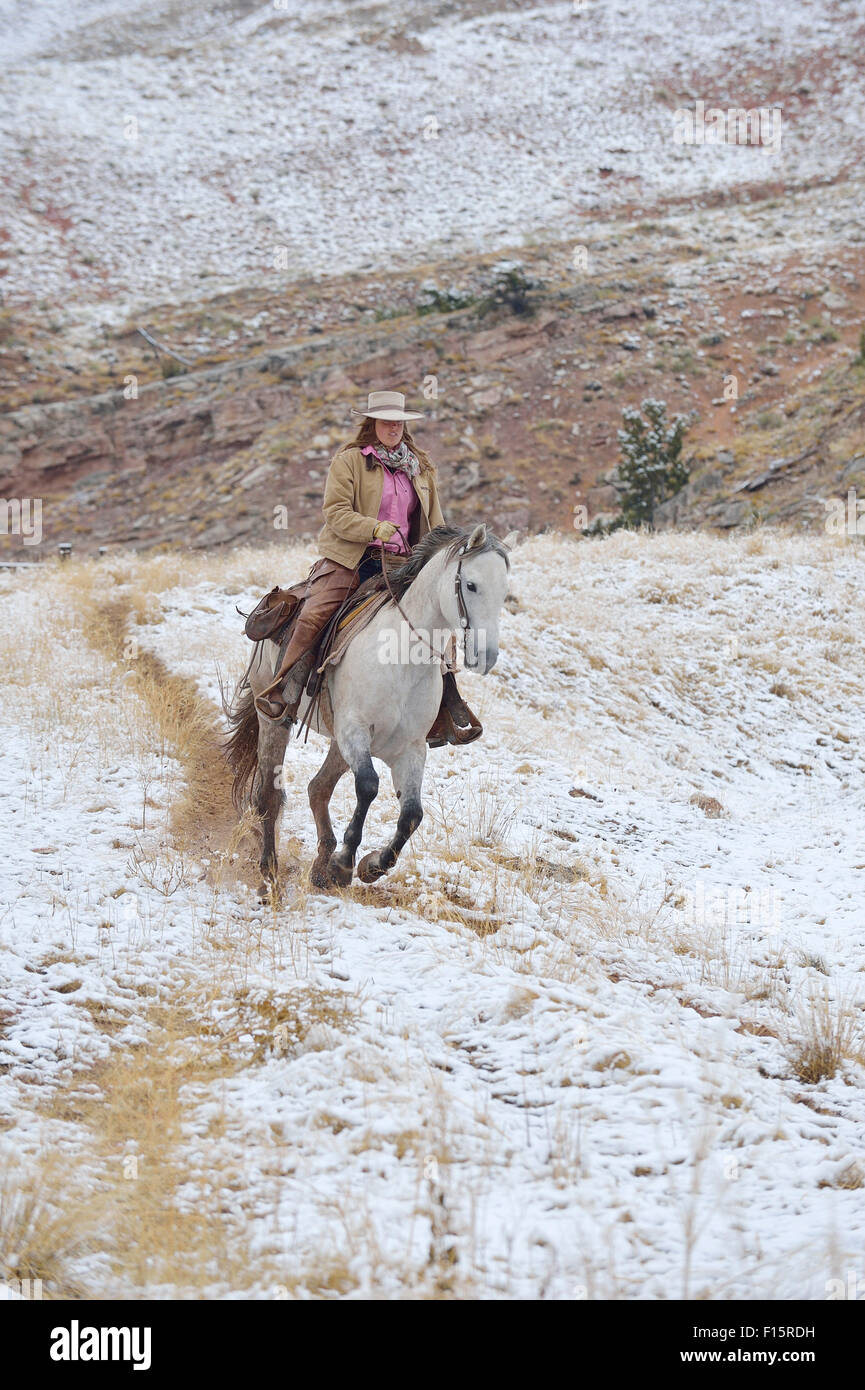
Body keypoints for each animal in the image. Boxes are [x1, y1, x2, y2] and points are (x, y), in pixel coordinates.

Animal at [226, 522, 517, 889]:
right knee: (269, 794)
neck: (401, 659)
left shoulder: (410, 748)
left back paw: (319, 868)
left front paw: (371, 865)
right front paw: (343, 864)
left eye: (504, 592)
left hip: (337, 741)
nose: (486, 655)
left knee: (318, 788)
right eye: (471, 584)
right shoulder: (356, 731)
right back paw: (269, 870)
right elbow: (367, 786)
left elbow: (412, 814)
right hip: (275, 720)